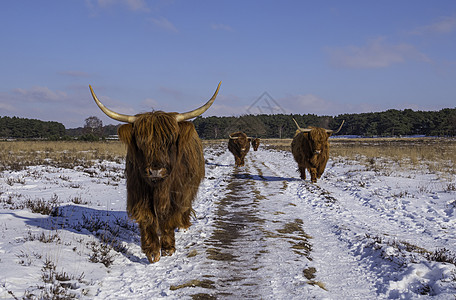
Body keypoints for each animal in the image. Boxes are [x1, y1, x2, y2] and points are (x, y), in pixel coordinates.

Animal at [89, 81, 221, 262]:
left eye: (169, 142)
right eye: (141, 143)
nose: (155, 171)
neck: (158, 187)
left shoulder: (177, 193)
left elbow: (168, 217)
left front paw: (168, 248)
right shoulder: (138, 192)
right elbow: (147, 218)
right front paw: (152, 252)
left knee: (185, 208)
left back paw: (183, 226)